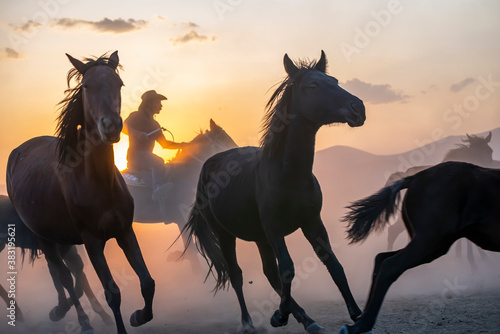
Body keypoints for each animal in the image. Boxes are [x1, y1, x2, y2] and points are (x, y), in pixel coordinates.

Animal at [0, 194, 111, 324]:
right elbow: (64, 276)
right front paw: (59, 311)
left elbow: (79, 275)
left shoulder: (69, 251)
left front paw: (103, 315)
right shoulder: (56, 252)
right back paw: (17, 312)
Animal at [184, 51, 364, 332]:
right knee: (237, 274)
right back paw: (250, 321)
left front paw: (357, 315)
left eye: (334, 80)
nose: (358, 108)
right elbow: (288, 269)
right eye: (313, 85)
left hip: (259, 237)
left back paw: (307, 320)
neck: (288, 175)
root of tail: (208, 166)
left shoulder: (312, 223)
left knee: (269, 272)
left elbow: (333, 264)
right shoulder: (274, 229)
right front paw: (279, 315)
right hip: (226, 234)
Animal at [340, 160, 500, 332]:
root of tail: (414, 178)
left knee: (381, 258)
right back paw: (362, 324)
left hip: (433, 246)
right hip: (429, 241)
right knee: (390, 265)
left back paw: (361, 318)